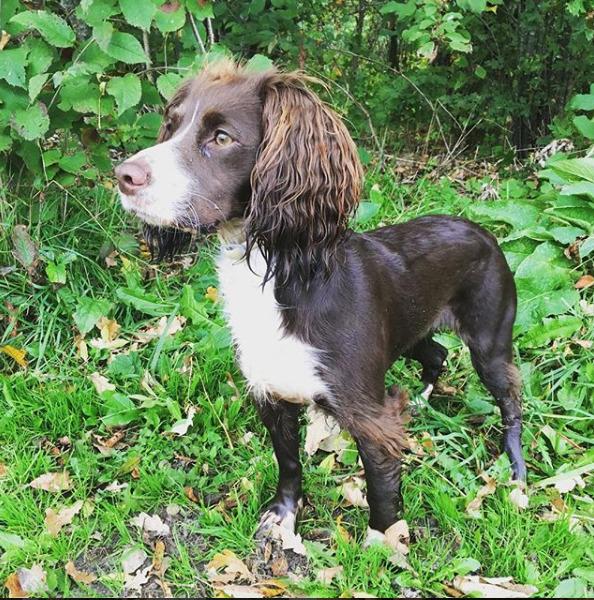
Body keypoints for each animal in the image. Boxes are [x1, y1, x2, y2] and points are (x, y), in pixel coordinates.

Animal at [115, 59, 524, 544]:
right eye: (173, 126)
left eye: (222, 138)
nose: (124, 176)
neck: (280, 278)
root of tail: (483, 231)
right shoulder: (271, 393)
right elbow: (289, 463)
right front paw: (284, 514)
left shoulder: (368, 414)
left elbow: (380, 485)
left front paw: (381, 541)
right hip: (410, 329)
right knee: (437, 353)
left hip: (489, 344)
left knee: (511, 400)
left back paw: (517, 472)